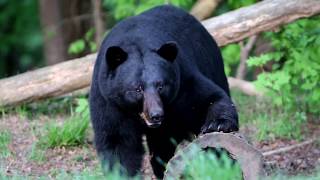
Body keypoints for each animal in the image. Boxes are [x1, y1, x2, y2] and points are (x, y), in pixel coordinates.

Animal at [89, 4, 239, 179]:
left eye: (161, 85)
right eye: (137, 89)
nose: (156, 115)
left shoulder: (182, 82)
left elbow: (208, 98)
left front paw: (218, 124)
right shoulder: (109, 101)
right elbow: (118, 141)